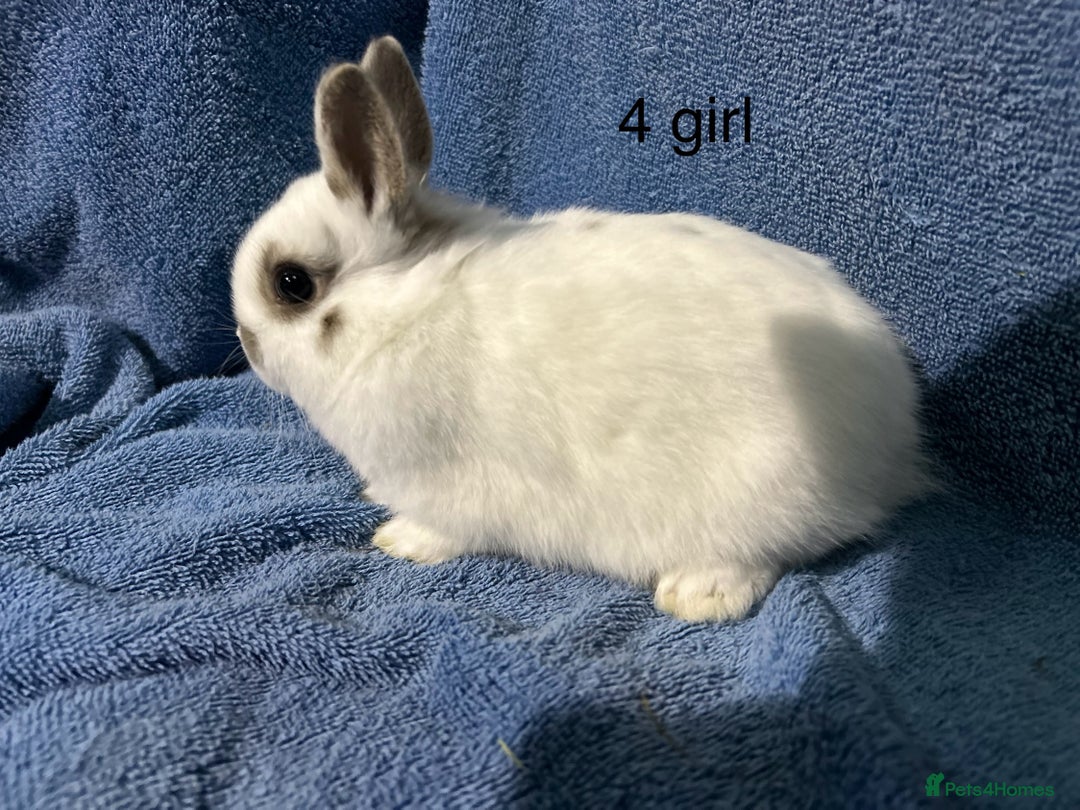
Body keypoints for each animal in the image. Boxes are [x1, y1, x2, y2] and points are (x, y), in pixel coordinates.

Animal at [231, 35, 930, 622]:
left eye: (291, 284)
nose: (245, 343)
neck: (400, 309)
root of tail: (893, 444)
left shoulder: (446, 483)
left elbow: (442, 527)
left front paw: (398, 538)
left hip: (760, 494)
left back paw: (695, 595)